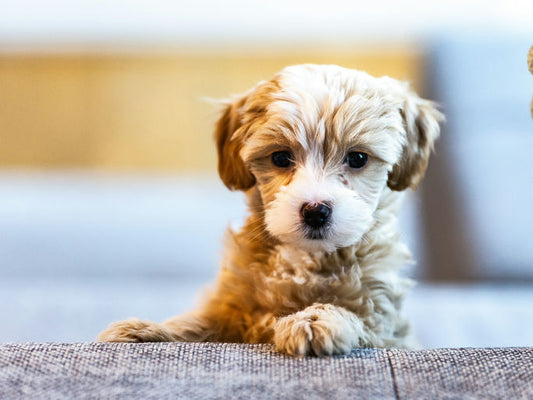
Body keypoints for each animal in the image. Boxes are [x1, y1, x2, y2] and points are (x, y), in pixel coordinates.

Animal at [97, 65, 442, 356]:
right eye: (280, 158)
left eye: (357, 158)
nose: (315, 210)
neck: (305, 259)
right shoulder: (233, 306)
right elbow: (201, 321)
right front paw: (147, 330)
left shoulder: (384, 322)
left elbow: (351, 314)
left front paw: (313, 320)